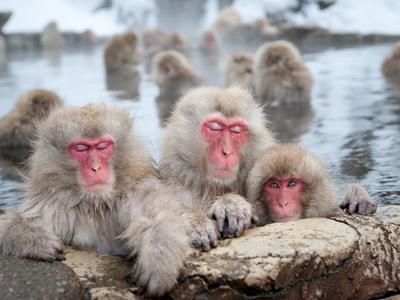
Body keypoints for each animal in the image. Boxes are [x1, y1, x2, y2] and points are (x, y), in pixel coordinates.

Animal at [0, 104, 191, 296]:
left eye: (103, 146)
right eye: (81, 149)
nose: (96, 168)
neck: (97, 204)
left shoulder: (136, 194)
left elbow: (162, 216)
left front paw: (158, 261)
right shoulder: (52, 204)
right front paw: (34, 238)